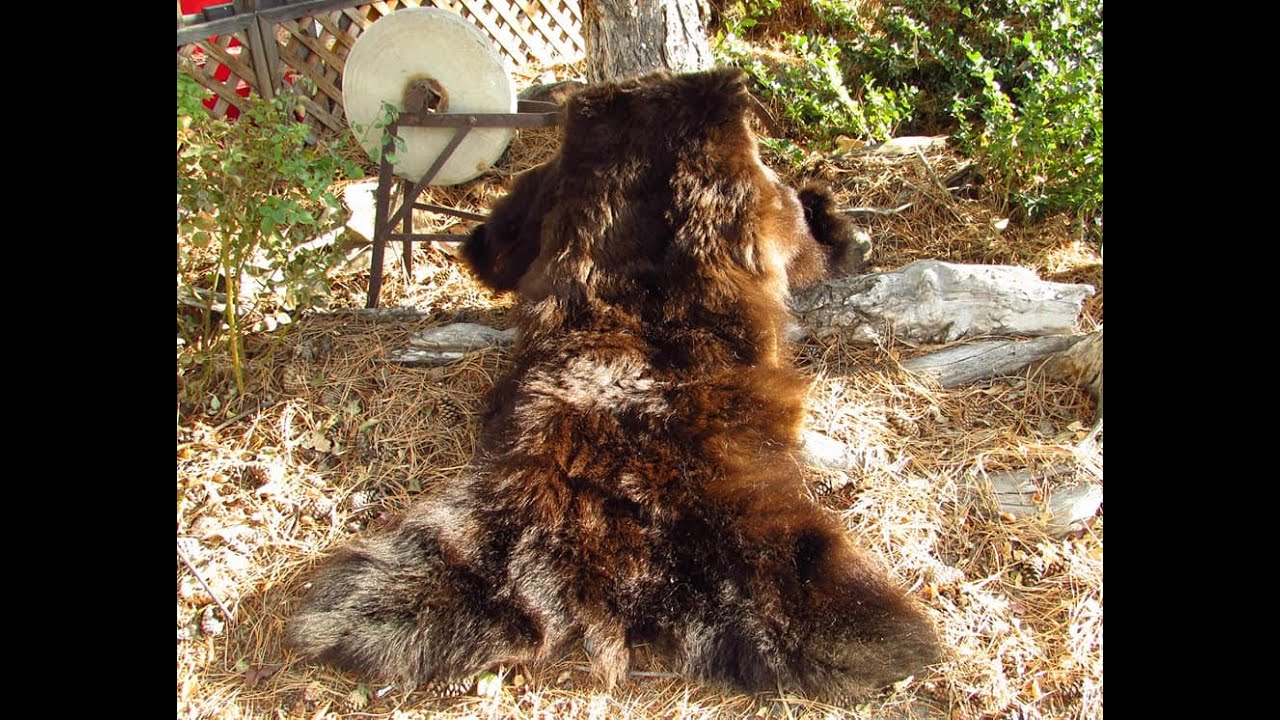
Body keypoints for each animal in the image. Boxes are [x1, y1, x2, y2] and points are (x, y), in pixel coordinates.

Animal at [286, 67, 940, 700]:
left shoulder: (555, 183)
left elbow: (501, 243)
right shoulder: (757, 200)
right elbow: (806, 246)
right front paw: (832, 219)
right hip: (743, 526)